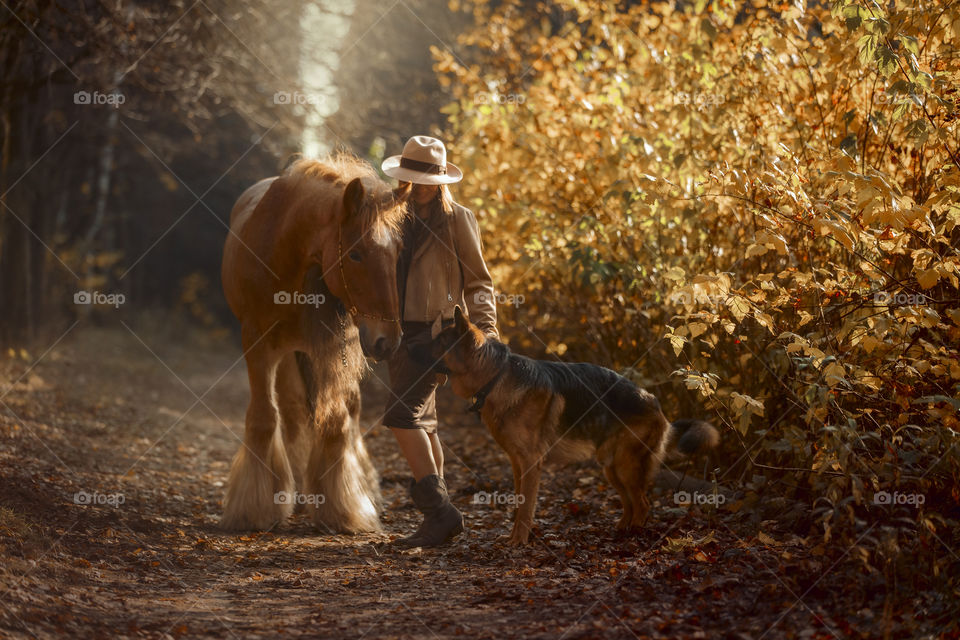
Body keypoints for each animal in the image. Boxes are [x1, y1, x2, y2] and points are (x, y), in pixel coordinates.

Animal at [220, 154, 408, 528]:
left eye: (396, 251)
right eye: (356, 254)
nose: (389, 341)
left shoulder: (335, 348)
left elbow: (336, 422)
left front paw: (341, 506)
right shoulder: (257, 345)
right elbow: (264, 418)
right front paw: (255, 507)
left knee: (348, 411)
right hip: (288, 355)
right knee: (291, 414)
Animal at [432, 308, 716, 544]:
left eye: (438, 343)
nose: (417, 347)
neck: (496, 375)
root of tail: (655, 402)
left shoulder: (532, 462)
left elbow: (525, 507)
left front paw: (519, 541)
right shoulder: (517, 463)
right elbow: (520, 502)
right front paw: (517, 536)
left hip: (625, 466)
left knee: (643, 503)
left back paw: (634, 534)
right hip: (611, 467)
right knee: (630, 502)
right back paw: (621, 529)